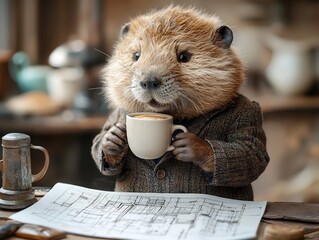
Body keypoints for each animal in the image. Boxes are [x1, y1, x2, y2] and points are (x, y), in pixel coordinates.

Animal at [92, 5, 270, 201]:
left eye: (184, 56)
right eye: (136, 55)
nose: (149, 81)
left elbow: (251, 153)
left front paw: (190, 145)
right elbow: (98, 142)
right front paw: (113, 139)